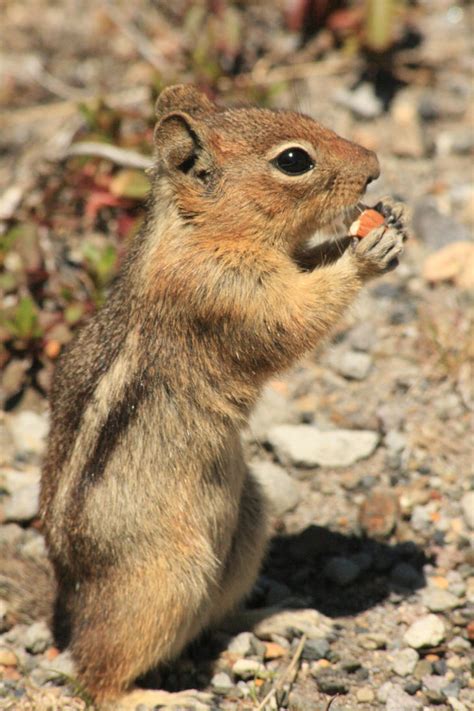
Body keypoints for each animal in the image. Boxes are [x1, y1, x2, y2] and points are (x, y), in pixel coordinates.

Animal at [39, 86, 406, 708]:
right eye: (293, 160)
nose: (375, 168)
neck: (197, 229)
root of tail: (69, 593)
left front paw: (380, 225)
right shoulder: (227, 293)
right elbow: (295, 317)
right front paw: (367, 252)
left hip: (247, 527)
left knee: (215, 621)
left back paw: (286, 618)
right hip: (164, 579)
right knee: (94, 674)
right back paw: (160, 697)